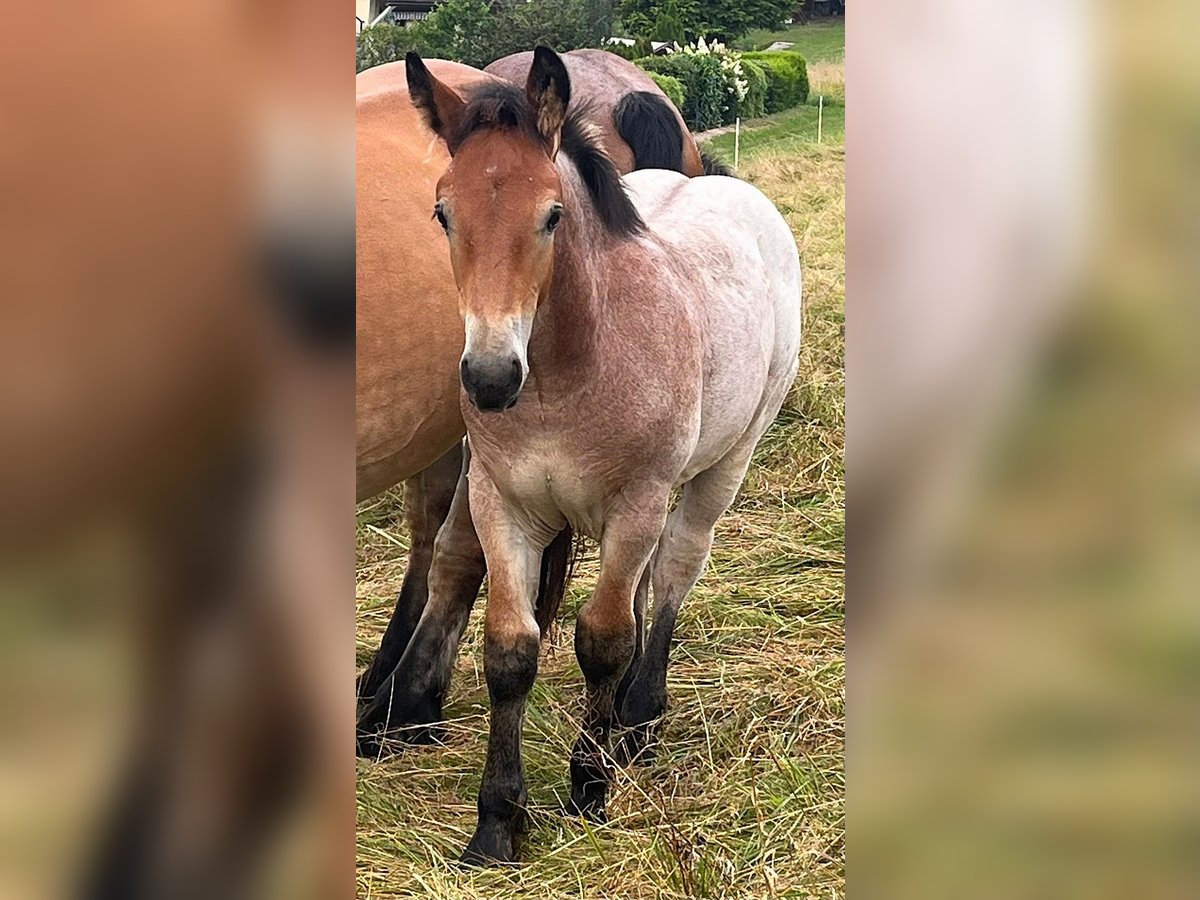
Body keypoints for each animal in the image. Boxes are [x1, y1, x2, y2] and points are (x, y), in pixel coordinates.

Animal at [398, 49, 801, 868]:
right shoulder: (502, 504)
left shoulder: (636, 500)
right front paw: (497, 824)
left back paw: (640, 717)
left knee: (676, 566)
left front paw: (587, 787)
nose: (490, 378)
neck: (566, 376)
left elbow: (603, 642)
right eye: (443, 213)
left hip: (722, 465)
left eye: (552, 215)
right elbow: (509, 651)